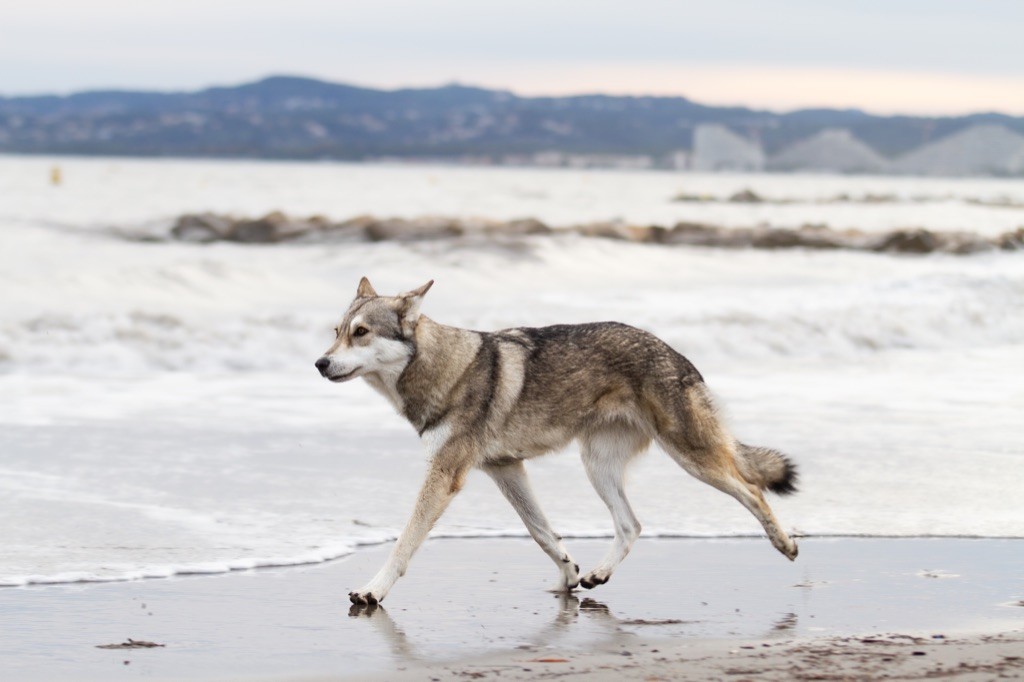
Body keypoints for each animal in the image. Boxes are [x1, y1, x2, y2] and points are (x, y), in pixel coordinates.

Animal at [313, 278, 798, 602]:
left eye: (361, 333)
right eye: (336, 332)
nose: (319, 363)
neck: (442, 369)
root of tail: (677, 355)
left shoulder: (447, 474)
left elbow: (404, 542)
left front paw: (373, 591)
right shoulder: (505, 468)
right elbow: (542, 532)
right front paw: (569, 575)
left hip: (691, 457)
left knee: (751, 490)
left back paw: (786, 544)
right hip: (598, 467)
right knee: (631, 525)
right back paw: (598, 574)